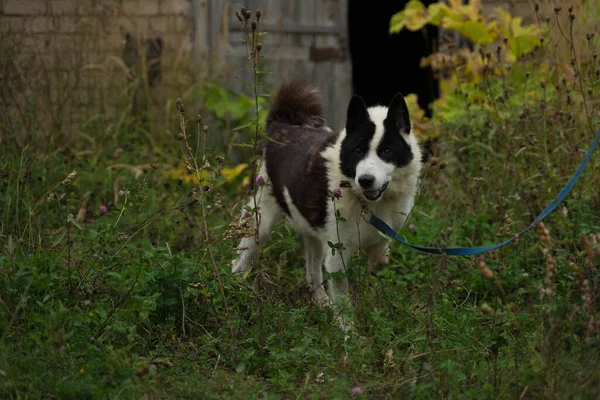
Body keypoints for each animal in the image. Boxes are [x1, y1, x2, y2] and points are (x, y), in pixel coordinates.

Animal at [230, 81, 422, 324]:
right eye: (357, 150)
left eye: (386, 151)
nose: (365, 180)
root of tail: (280, 125)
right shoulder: (338, 256)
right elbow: (343, 299)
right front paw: (349, 331)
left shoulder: (382, 238)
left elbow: (378, 259)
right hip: (259, 220)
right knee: (242, 258)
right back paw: (236, 290)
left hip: (314, 233)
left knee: (312, 274)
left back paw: (322, 304)